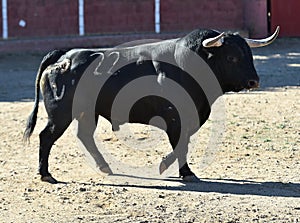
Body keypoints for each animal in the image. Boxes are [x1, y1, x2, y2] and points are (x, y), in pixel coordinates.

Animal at [22, 27, 278, 183]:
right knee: (47, 136)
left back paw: (105, 167)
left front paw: (173, 168)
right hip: (60, 113)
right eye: (232, 57)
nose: (254, 82)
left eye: (249, 55)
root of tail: (64, 56)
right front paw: (182, 172)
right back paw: (46, 175)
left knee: (84, 135)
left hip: (87, 113)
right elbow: (180, 144)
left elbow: (183, 143)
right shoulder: (176, 118)